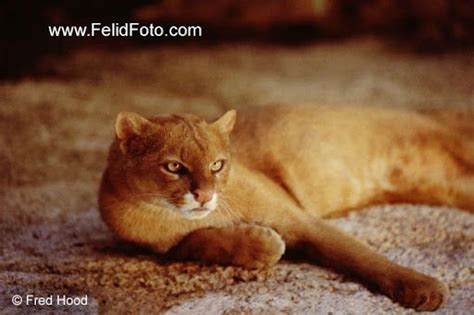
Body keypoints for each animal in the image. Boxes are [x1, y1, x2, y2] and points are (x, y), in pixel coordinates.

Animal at [98, 105, 472, 312]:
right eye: (174, 167)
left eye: (217, 165)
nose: (204, 195)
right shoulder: (165, 246)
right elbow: (199, 242)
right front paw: (260, 243)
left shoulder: (300, 219)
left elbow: (358, 253)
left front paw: (422, 287)